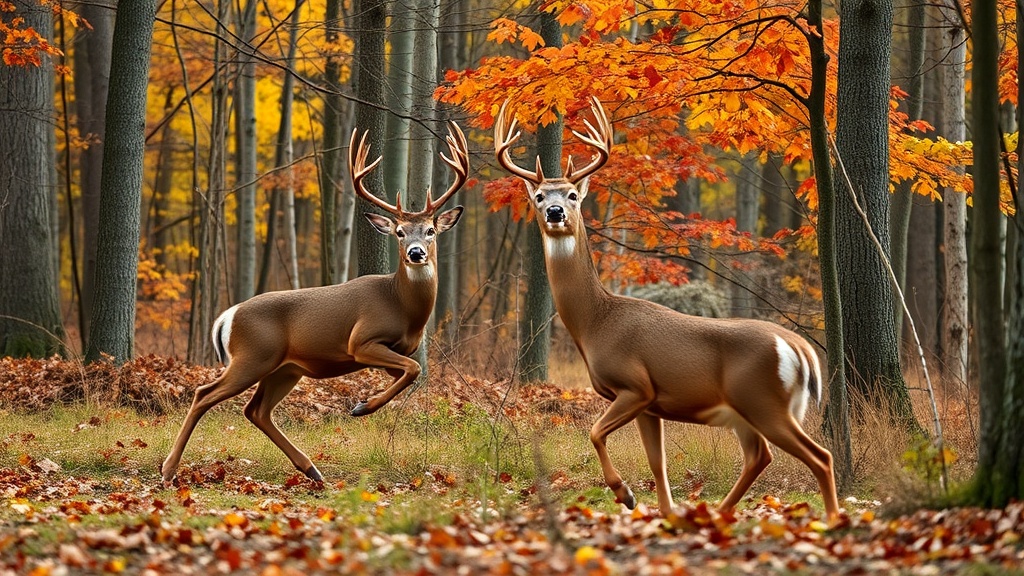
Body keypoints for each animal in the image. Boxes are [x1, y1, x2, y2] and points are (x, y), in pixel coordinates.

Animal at [161, 123, 469, 483]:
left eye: (431, 230)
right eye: (400, 232)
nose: (416, 253)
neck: (402, 306)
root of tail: (227, 317)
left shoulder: (397, 350)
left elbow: (408, 372)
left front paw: (364, 404)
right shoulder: (360, 341)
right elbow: (414, 368)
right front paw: (361, 407)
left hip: (285, 368)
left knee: (256, 410)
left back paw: (311, 468)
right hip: (253, 356)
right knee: (204, 394)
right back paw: (168, 469)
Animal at [493, 97, 840, 521]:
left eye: (573, 195)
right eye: (540, 196)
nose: (555, 212)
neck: (596, 322)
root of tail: (799, 347)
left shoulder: (635, 385)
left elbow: (594, 432)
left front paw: (625, 494)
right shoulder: (651, 404)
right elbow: (656, 462)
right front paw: (665, 511)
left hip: (763, 401)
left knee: (820, 456)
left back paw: (832, 518)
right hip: (746, 410)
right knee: (760, 456)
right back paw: (717, 513)